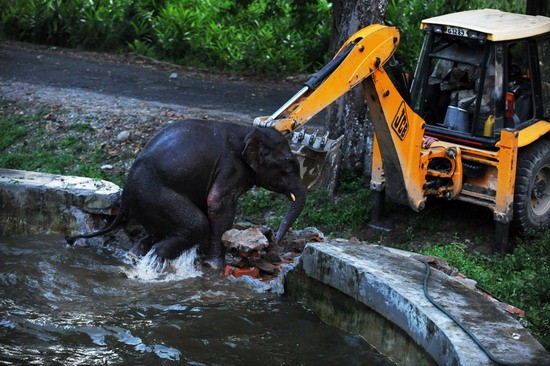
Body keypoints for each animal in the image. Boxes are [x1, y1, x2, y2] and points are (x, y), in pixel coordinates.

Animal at [67, 120, 308, 268]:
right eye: (289, 164)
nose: (275, 238)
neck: (247, 130)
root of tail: (125, 196)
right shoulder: (231, 168)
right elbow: (217, 203)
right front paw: (214, 266)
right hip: (155, 195)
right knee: (195, 225)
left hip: (146, 203)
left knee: (154, 233)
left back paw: (135, 255)